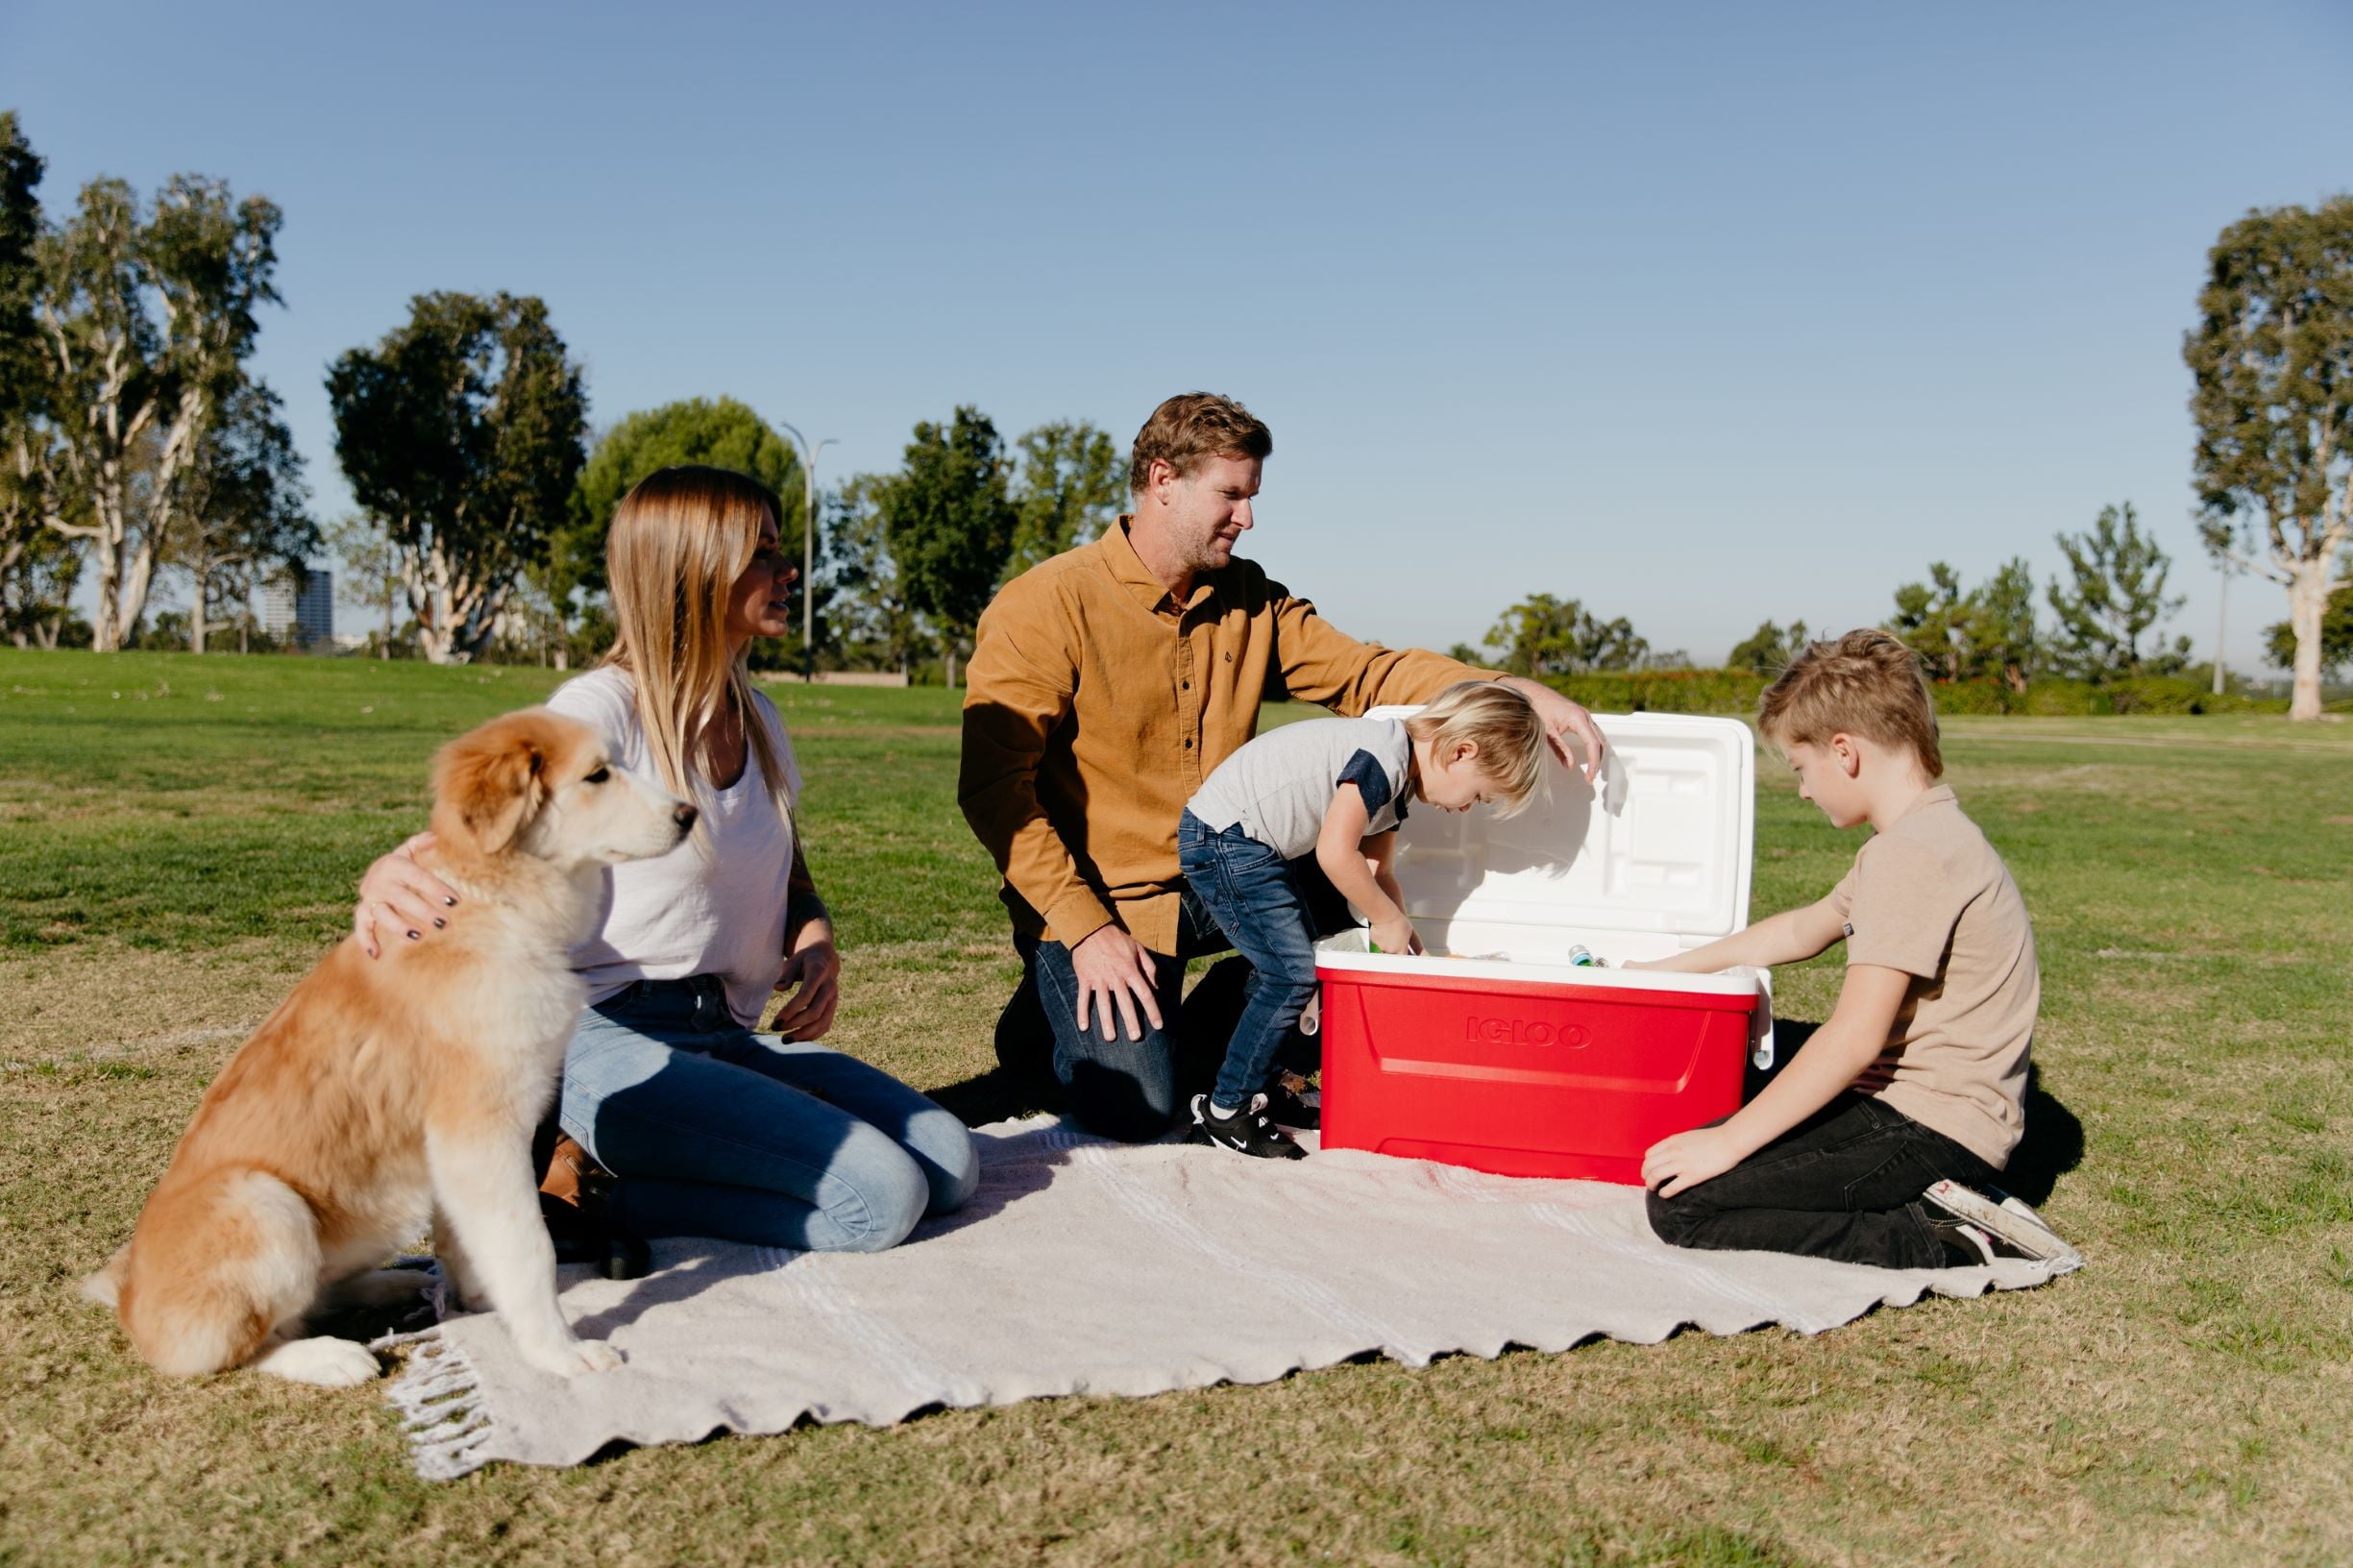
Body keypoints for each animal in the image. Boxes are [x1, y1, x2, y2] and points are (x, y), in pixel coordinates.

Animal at [83, 706, 687, 1384]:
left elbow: (465, 1239)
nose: (689, 814)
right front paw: (558, 1352)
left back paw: (394, 1284)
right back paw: (330, 1357)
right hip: (267, 1202)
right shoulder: (479, 1131)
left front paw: (480, 1306)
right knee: (247, 1345)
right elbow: (529, 1248)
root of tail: (128, 1302)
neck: (493, 903)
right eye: (598, 774)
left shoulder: (459, 1147)